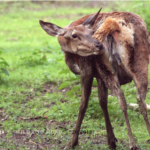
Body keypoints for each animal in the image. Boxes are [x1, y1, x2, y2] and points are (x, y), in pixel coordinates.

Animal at [39, 8, 150, 150]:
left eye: (91, 32)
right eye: (74, 35)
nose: (98, 45)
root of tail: (116, 25)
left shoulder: (86, 68)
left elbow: (83, 103)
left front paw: (72, 142)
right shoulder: (99, 76)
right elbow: (103, 102)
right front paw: (111, 140)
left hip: (106, 67)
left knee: (122, 98)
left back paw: (132, 143)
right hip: (140, 63)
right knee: (140, 99)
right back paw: (147, 136)